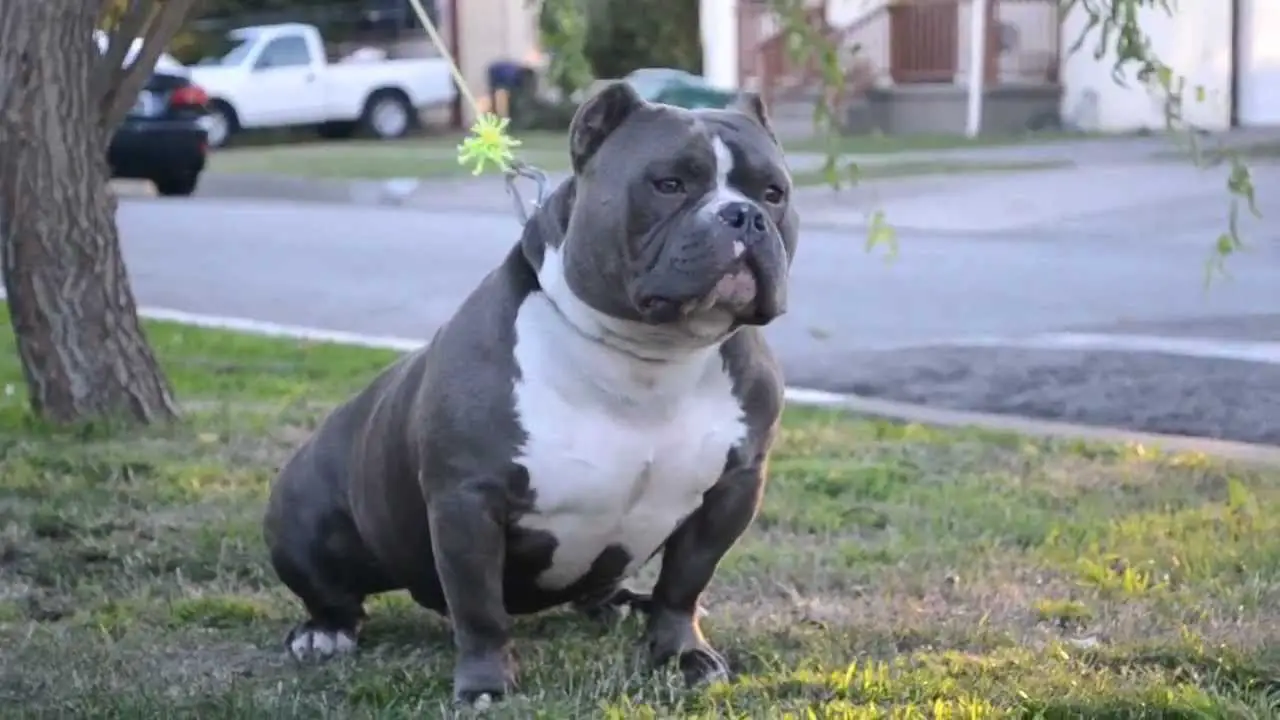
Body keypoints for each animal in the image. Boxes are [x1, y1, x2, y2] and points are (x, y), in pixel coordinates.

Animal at [262, 79, 798, 702]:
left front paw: (681, 654)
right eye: (669, 184)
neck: (649, 357)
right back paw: (324, 631)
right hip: (299, 516)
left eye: (774, 192)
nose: (744, 215)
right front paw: (485, 684)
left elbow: (684, 584)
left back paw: (620, 602)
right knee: (336, 592)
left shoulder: (734, 488)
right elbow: (479, 608)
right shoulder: (468, 499)